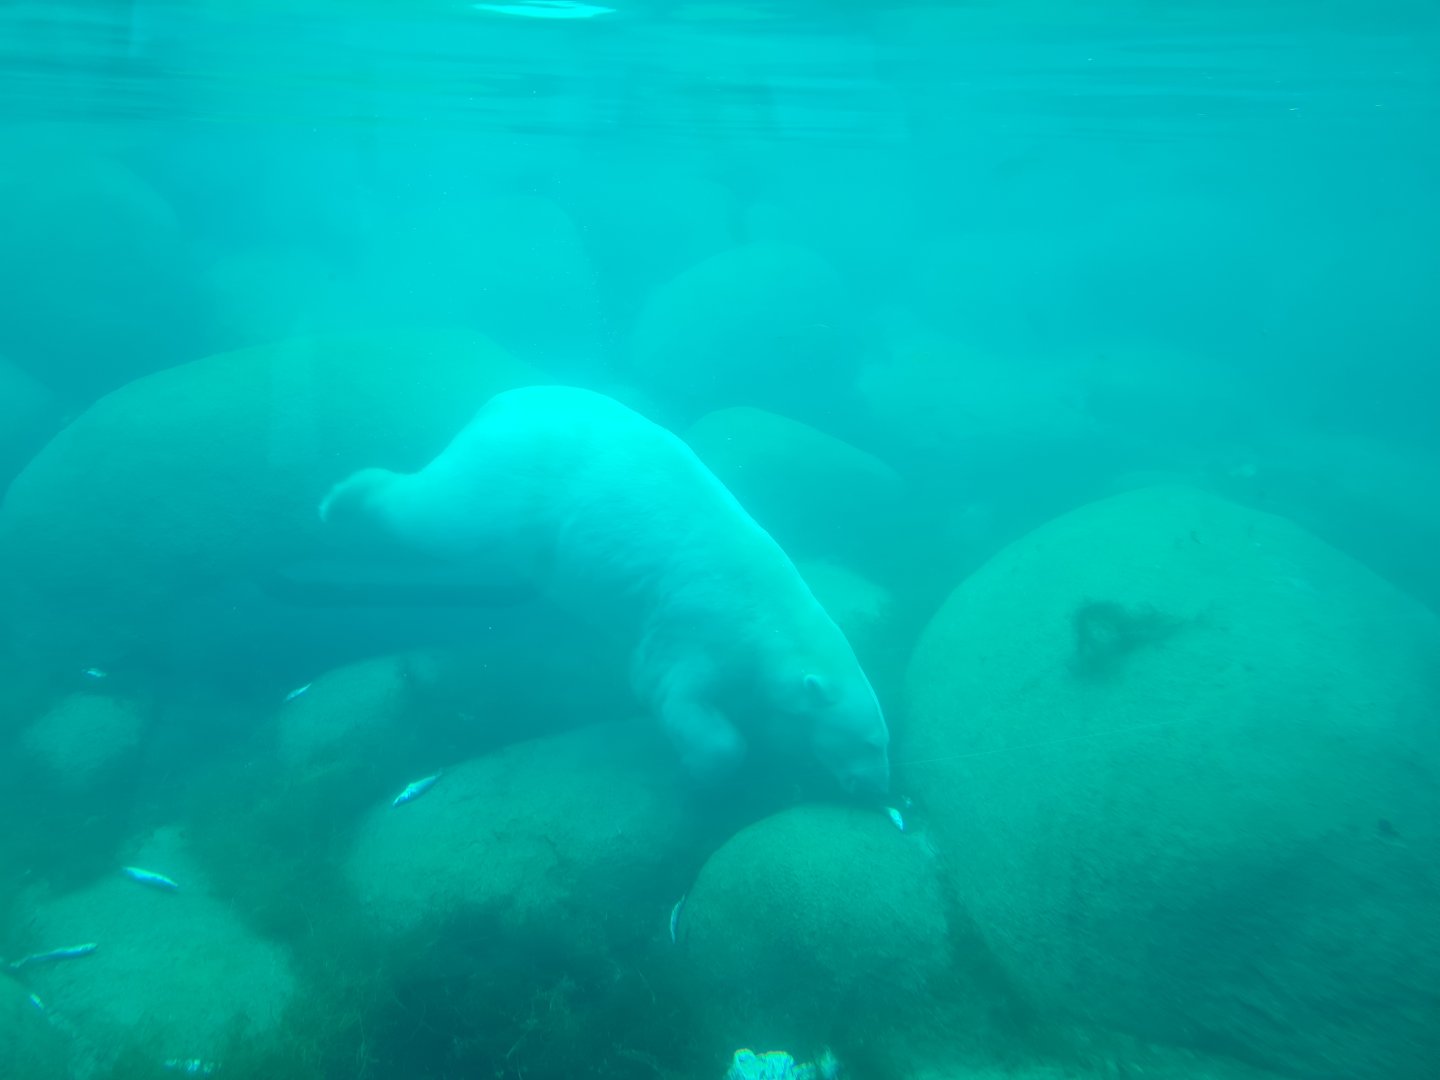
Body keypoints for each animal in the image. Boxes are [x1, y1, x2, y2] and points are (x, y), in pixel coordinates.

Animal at [318, 386, 890, 795]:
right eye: (868, 742)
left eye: (883, 742)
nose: (879, 788)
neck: (772, 612)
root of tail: (499, 404)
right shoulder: (700, 621)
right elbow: (669, 688)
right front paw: (702, 766)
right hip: (508, 486)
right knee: (435, 515)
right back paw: (341, 498)